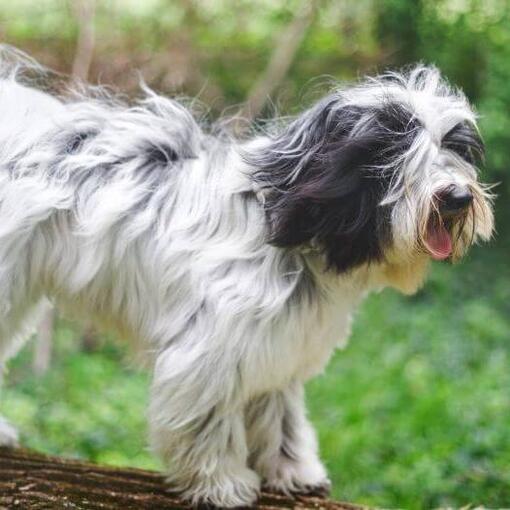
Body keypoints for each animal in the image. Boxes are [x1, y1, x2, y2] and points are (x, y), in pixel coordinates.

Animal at [0, 46, 496, 506]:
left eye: (454, 146)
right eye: (392, 150)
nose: (457, 197)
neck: (288, 228)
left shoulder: (278, 345)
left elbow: (281, 416)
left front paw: (292, 469)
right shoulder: (208, 352)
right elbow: (207, 420)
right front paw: (220, 482)